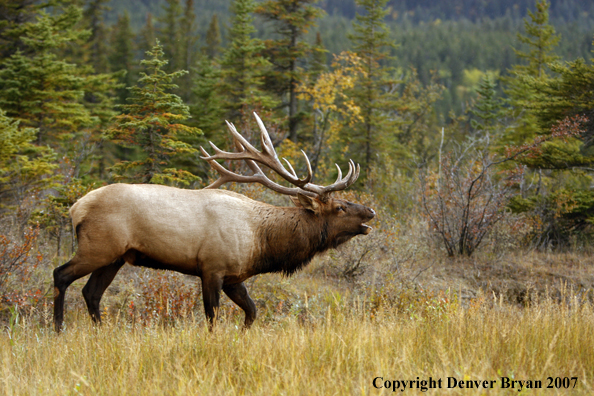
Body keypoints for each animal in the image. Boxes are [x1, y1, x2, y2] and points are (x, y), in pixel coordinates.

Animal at [52, 112, 374, 332]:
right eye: (340, 207)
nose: (370, 212)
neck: (261, 241)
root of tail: (76, 208)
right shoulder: (211, 268)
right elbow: (212, 317)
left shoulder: (234, 277)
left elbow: (252, 312)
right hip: (98, 247)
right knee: (61, 275)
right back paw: (58, 329)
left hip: (115, 257)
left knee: (91, 292)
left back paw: (99, 331)